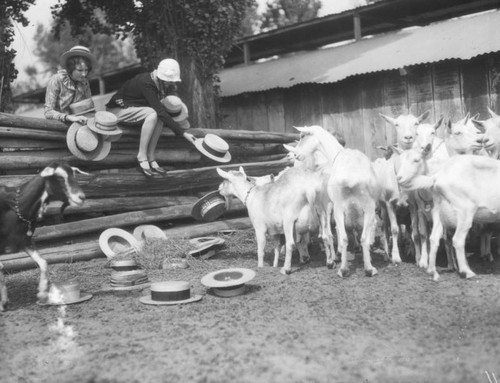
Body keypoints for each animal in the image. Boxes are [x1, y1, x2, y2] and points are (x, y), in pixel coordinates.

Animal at [0, 163, 86, 312]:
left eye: (74, 175)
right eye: (59, 177)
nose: (81, 197)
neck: (15, 208)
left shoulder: (25, 241)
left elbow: (43, 262)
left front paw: (42, 292)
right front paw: (3, 303)